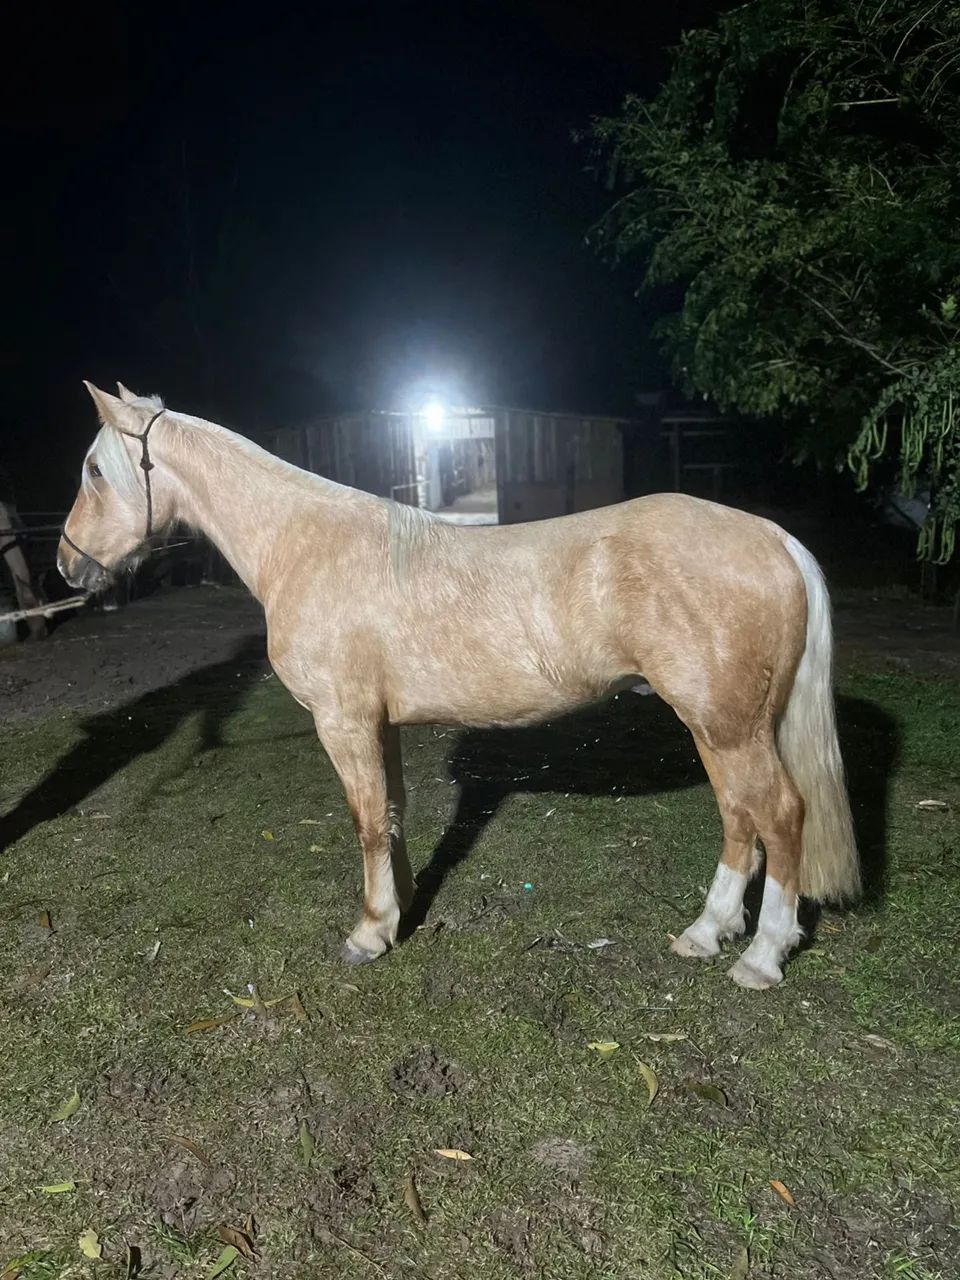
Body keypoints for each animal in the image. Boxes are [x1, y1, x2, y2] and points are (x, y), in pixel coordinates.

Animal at [58, 382, 860, 989]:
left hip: (728, 726)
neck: (303, 545)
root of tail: (773, 537)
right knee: (740, 819)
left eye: (94, 471)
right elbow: (390, 814)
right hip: (718, 727)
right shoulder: (376, 724)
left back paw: (762, 956)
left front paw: (369, 933)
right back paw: (706, 931)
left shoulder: (343, 721)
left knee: (780, 814)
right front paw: (400, 911)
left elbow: (364, 821)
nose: (68, 567)